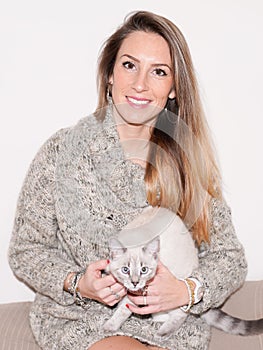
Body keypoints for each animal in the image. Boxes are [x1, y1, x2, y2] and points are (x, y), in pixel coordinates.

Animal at [103, 206, 263, 338]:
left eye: (144, 270)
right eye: (125, 270)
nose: (135, 283)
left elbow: (124, 309)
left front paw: (110, 326)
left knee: (179, 313)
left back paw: (162, 331)